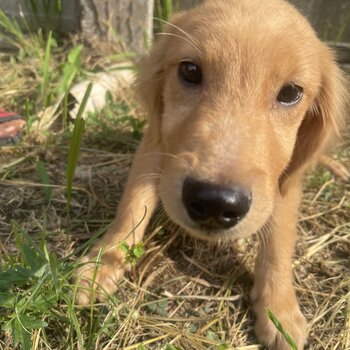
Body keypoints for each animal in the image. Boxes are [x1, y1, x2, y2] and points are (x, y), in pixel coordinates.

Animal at [75, 1, 346, 348]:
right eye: (190, 71)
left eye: (290, 93)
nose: (215, 204)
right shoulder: (155, 145)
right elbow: (132, 206)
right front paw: (102, 263)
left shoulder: (283, 183)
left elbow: (279, 243)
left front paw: (279, 310)